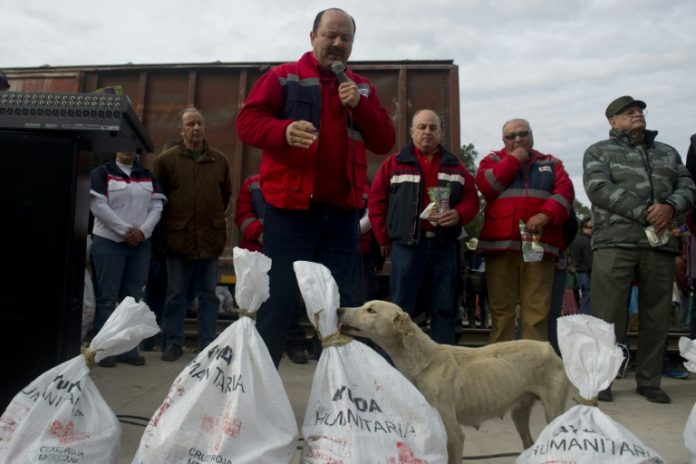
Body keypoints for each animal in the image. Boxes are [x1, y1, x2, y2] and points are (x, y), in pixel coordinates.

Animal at [338, 300, 572, 464]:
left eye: (371, 310)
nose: (339, 309)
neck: (424, 361)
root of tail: (549, 347)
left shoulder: (454, 435)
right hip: (519, 412)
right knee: (529, 443)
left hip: (553, 412)